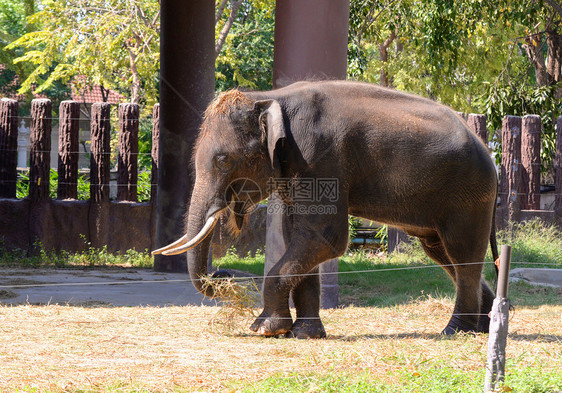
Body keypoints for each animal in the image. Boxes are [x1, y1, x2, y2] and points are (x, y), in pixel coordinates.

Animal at [151, 79, 496, 336]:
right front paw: (303, 334)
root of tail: (485, 147)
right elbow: (299, 237)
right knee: (441, 252)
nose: (222, 275)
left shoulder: (317, 156)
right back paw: (485, 325)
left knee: (461, 252)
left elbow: (324, 237)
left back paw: (455, 331)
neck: (269, 98)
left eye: (223, 160)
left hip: (469, 194)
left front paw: (263, 329)